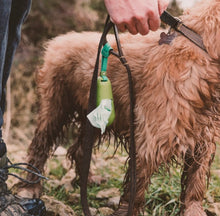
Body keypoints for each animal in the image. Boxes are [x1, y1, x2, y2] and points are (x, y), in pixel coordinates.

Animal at [18, 0, 219, 215]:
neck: (201, 48)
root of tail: (60, 39)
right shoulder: (150, 143)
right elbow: (136, 188)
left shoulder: (203, 141)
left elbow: (195, 182)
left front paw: (193, 210)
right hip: (55, 107)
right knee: (40, 147)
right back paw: (28, 188)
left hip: (94, 115)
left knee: (80, 150)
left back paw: (88, 181)